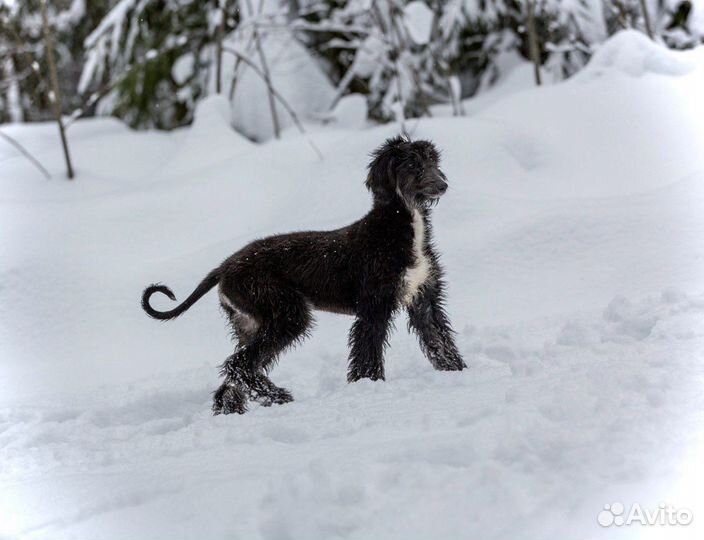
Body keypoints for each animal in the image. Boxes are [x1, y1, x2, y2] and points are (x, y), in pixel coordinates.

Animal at [141, 137, 464, 416]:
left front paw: (458, 372)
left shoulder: (424, 299)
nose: (443, 185)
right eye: (411, 164)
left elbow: (440, 342)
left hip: (250, 321)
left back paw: (232, 410)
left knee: (237, 370)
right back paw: (279, 396)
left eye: (433, 160)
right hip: (284, 310)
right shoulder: (375, 306)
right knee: (238, 364)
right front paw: (368, 388)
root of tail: (225, 266)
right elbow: (367, 354)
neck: (400, 228)